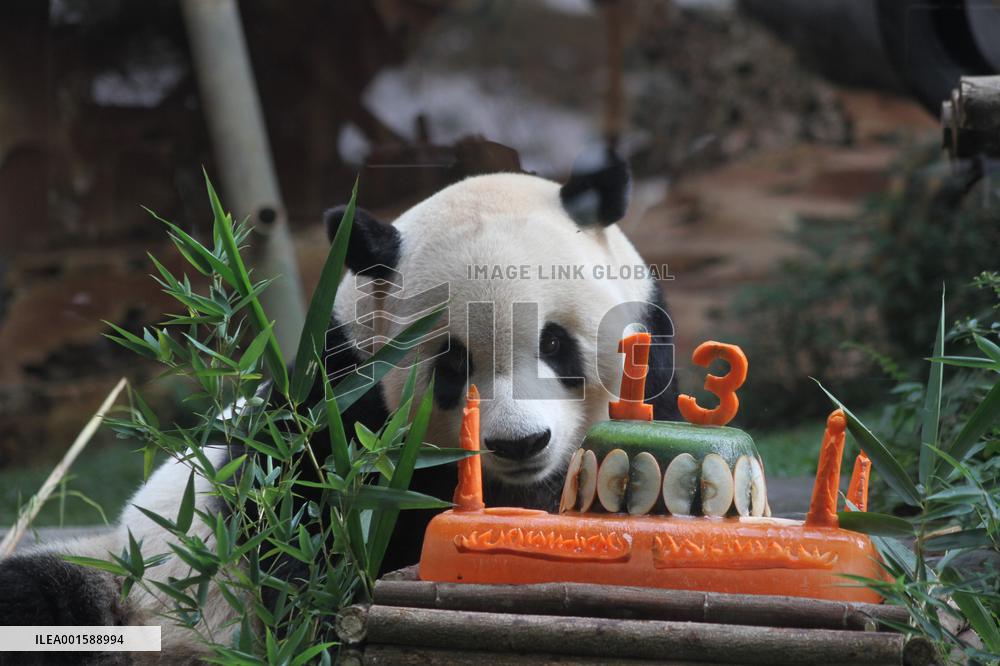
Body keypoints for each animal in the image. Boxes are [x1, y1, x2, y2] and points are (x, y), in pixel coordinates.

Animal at [0, 149, 679, 661]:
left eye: (555, 343)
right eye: (452, 364)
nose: (520, 444)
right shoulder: (337, 407)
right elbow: (298, 534)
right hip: (132, 583)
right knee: (41, 597)